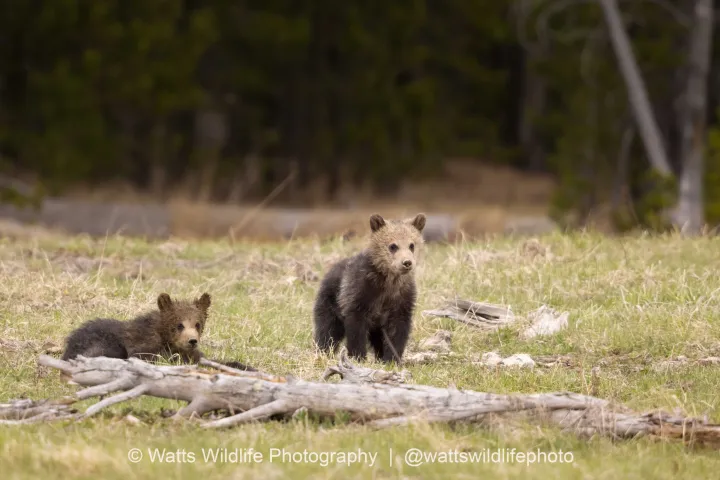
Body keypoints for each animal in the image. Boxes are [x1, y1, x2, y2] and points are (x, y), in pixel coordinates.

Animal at [313, 212, 426, 363]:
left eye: (411, 245)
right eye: (393, 246)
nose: (407, 262)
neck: (389, 283)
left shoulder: (401, 300)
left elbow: (397, 331)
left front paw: (391, 358)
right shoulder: (359, 295)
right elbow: (356, 329)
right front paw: (358, 356)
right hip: (330, 302)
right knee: (327, 330)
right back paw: (323, 351)